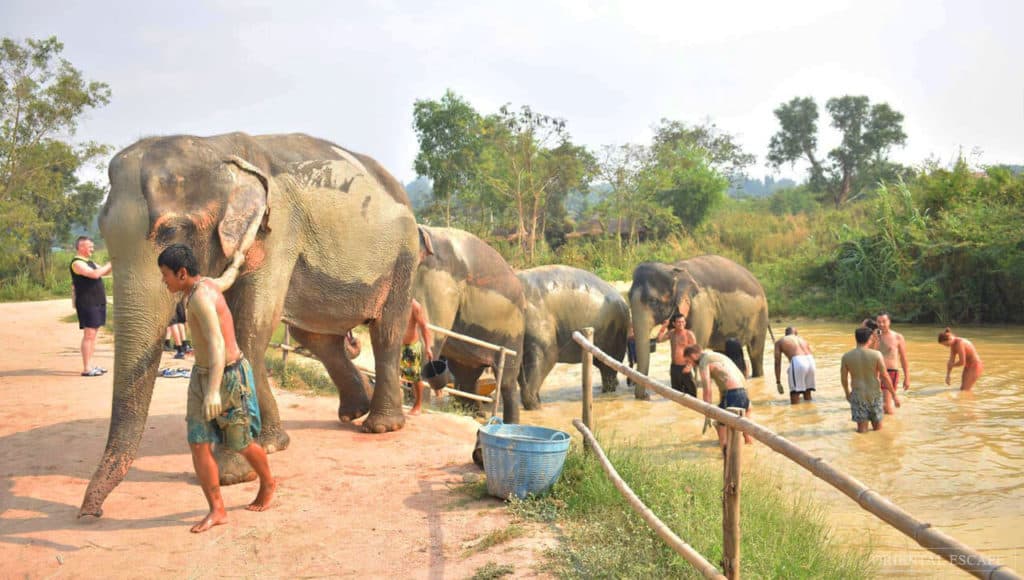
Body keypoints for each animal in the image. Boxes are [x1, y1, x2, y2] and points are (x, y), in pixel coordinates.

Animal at [80, 132, 420, 518]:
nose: (92, 513)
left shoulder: (277, 231)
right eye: (102, 230)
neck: (219, 149)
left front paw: (232, 473)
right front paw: (270, 445)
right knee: (315, 335)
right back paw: (354, 410)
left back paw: (380, 426)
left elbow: (252, 324)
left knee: (386, 331)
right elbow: (232, 325)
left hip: (404, 256)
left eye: (172, 230)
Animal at [413, 226, 524, 423]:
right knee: (466, 376)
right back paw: (472, 414)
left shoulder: (439, 281)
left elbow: (428, 335)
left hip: (514, 333)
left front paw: (420, 407)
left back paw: (508, 424)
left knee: (507, 381)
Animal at [629, 255, 769, 399]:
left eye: (653, 301)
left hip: (761, 316)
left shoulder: (702, 306)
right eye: (628, 297)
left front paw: (695, 384)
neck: (673, 268)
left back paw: (756, 376)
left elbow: (697, 341)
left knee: (755, 352)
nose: (646, 396)